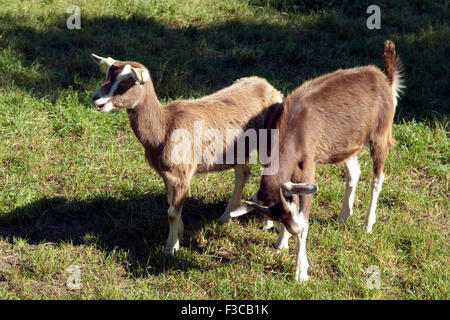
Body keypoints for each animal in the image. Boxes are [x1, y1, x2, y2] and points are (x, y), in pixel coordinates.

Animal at [230, 40, 402, 282]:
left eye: (290, 203)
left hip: (381, 133)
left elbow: (306, 219)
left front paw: (300, 272)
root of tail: (385, 79)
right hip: (346, 144)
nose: (292, 229)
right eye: (280, 214)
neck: (293, 127)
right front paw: (281, 242)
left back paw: (367, 224)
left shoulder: (307, 167)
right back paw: (343, 217)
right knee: (354, 172)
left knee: (377, 179)